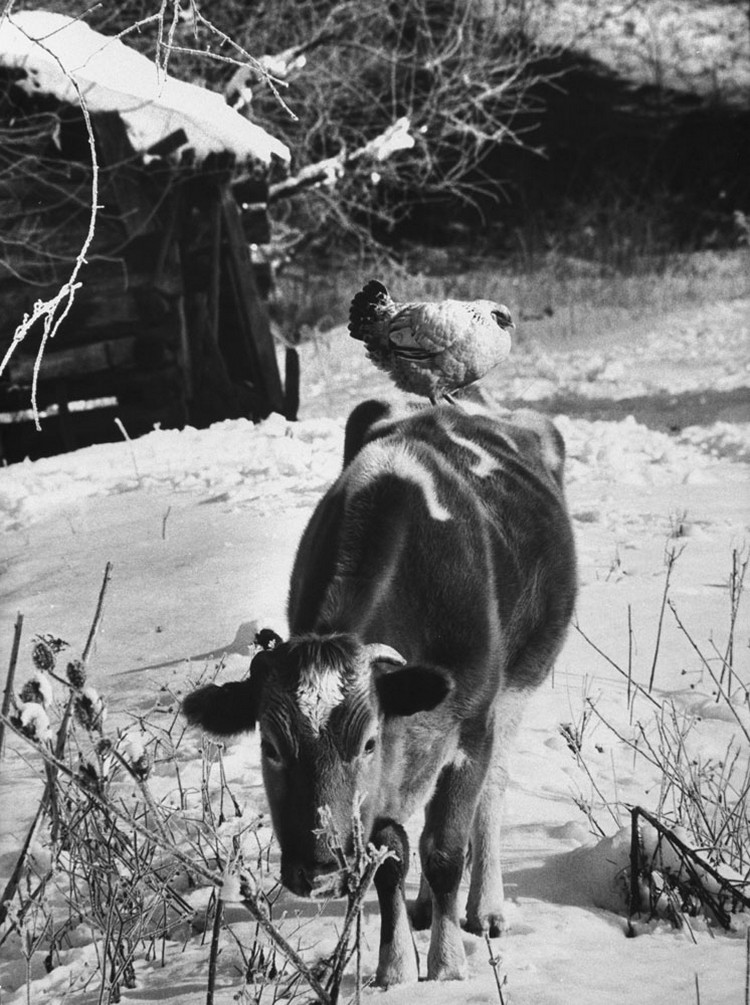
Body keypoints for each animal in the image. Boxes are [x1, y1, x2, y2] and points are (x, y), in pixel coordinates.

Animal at [183, 397, 575, 980]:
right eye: (271, 747)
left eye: (366, 742)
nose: (320, 868)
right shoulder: (383, 780)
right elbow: (390, 856)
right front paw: (394, 969)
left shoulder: (471, 726)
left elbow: (444, 850)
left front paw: (447, 967)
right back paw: (427, 909)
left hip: (517, 690)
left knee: (492, 795)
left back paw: (485, 908)